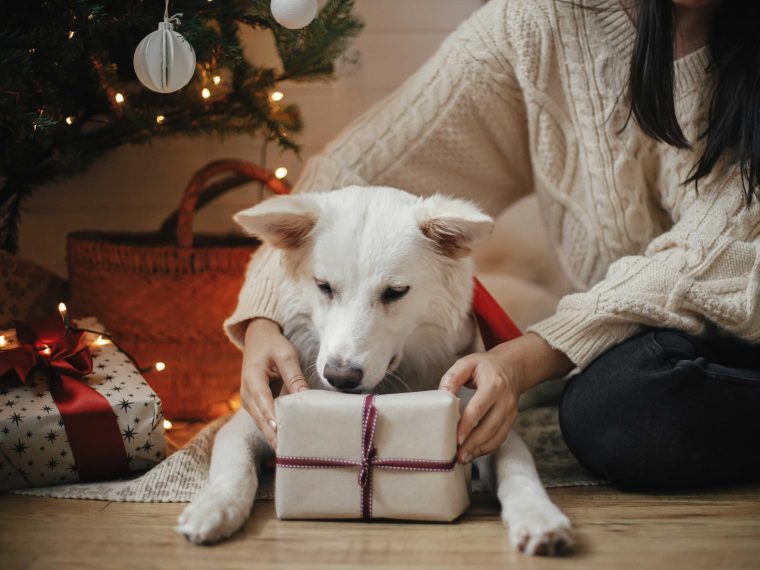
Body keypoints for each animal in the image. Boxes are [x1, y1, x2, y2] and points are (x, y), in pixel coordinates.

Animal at [177, 186, 568, 556]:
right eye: (324, 287)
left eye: (395, 292)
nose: (340, 377)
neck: (383, 390)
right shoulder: (252, 419)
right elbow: (235, 465)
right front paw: (214, 506)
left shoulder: (489, 424)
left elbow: (518, 471)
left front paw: (538, 515)